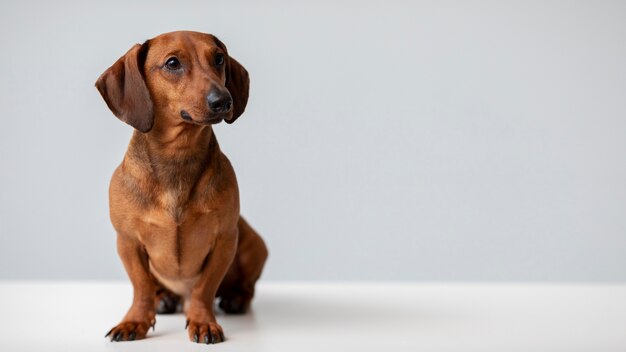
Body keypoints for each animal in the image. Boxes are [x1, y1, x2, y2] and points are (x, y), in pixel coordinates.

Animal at [94, 31, 266, 344]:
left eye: (218, 58)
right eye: (172, 63)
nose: (223, 100)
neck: (177, 156)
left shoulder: (225, 239)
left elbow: (204, 289)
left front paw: (202, 321)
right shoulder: (127, 241)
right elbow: (141, 287)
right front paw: (134, 320)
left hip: (253, 244)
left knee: (247, 287)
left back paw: (235, 299)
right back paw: (164, 298)